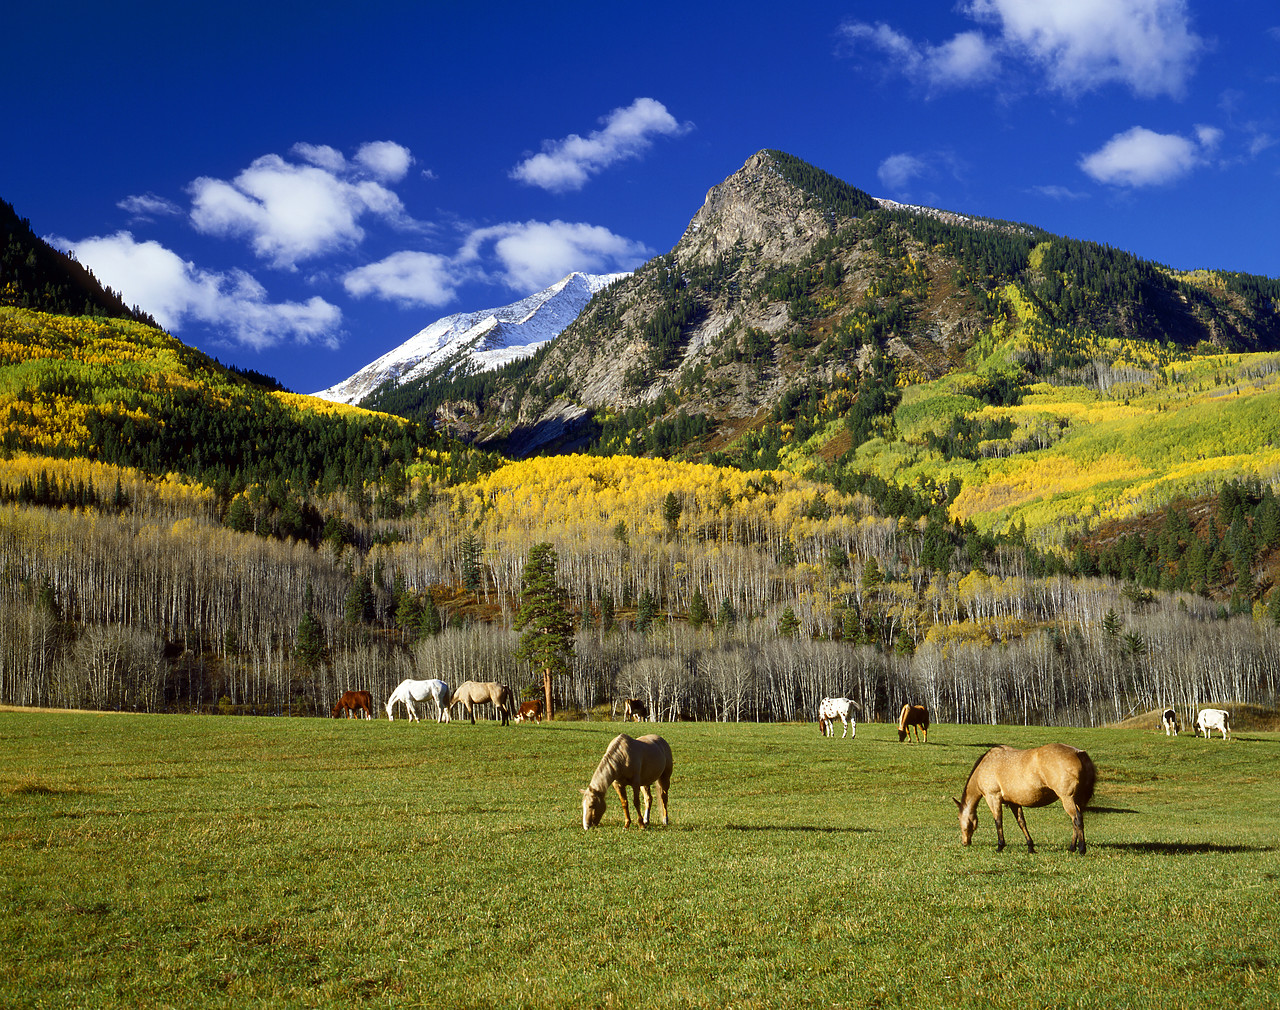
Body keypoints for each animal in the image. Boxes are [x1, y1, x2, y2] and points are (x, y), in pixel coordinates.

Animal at [957, 742, 1095, 849]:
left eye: (958, 818)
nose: (964, 842)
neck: (986, 764)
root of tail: (1078, 753)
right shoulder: (1013, 802)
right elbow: (1021, 822)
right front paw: (1030, 846)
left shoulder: (993, 797)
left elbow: (998, 821)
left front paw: (1000, 845)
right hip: (1076, 800)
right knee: (1075, 821)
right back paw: (1072, 847)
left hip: (1067, 799)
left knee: (1077, 819)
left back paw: (1081, 849)